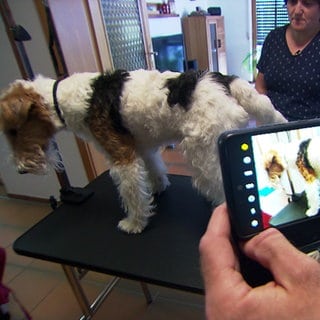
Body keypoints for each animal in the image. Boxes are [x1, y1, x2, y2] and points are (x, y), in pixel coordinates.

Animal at [0, 70, 284, 232]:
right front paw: (157, 189)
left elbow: (131, 193)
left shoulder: (122, 155)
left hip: (205, 151)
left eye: (13, 130)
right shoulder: (142, 146)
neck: (66, 98)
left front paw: (134, 223)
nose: (21, 170)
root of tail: (226, 82)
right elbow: (153, 170)